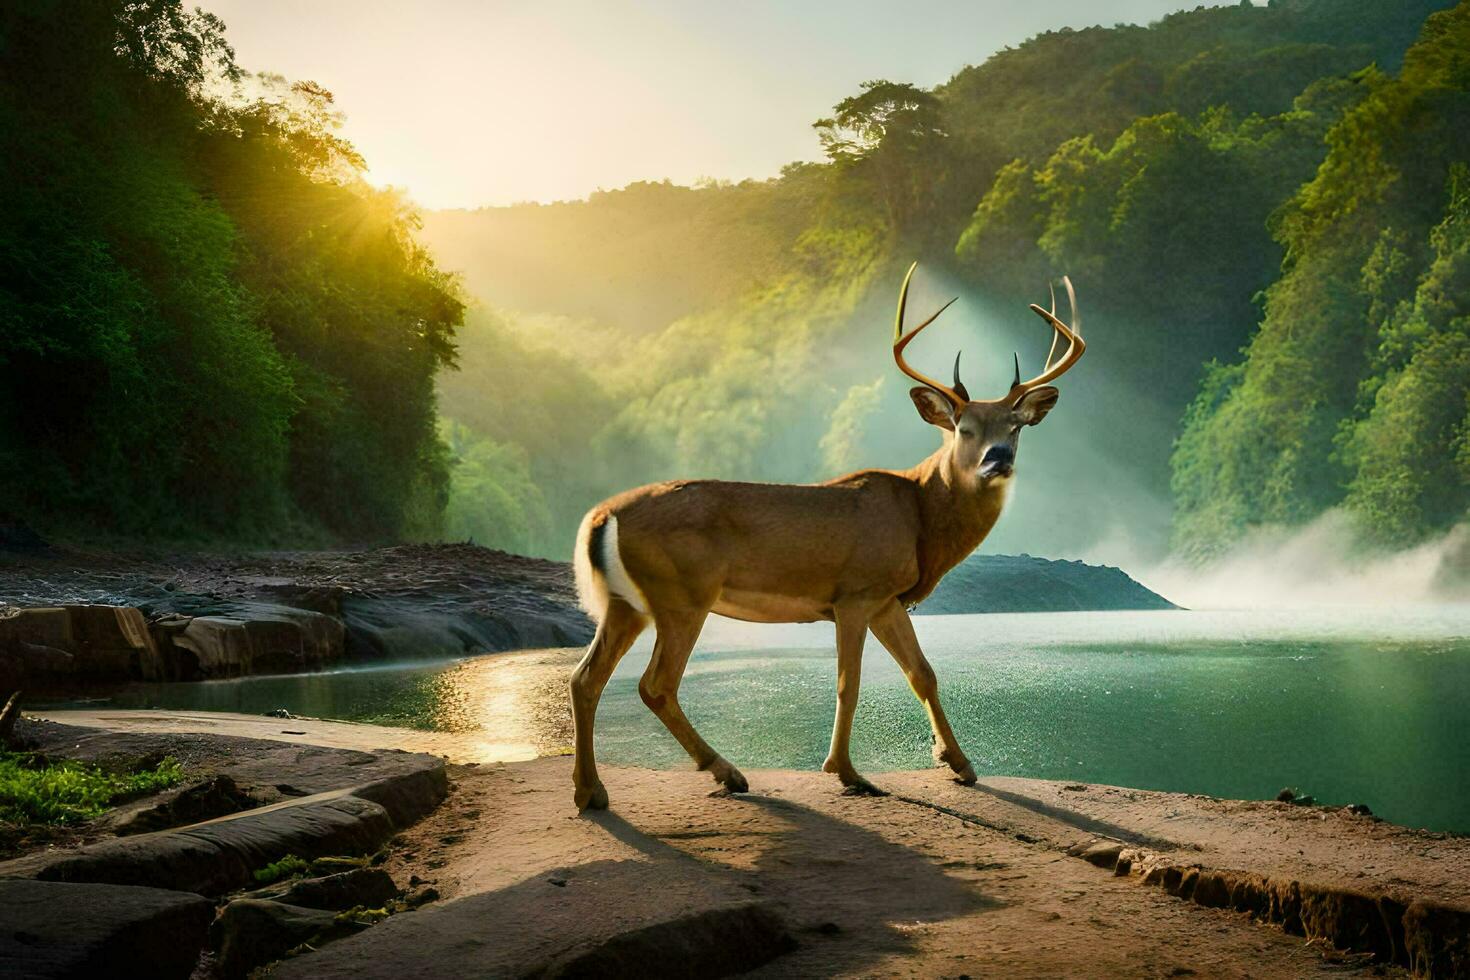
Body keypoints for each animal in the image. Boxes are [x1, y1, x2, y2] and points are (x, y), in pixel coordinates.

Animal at [561, 260, 1081, 811]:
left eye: (1015, 426)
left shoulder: (887, 598)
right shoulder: (855, 592)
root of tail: (600, 517)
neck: (919, 516)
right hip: (683, 593)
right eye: (963, 429)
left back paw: (592, 791)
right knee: (655, 683)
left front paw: (960, 764)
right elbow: (848, 683)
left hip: (629, 603)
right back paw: (725, 772)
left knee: (585, 678)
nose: (997, 459)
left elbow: (923, 673)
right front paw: (847, 772)